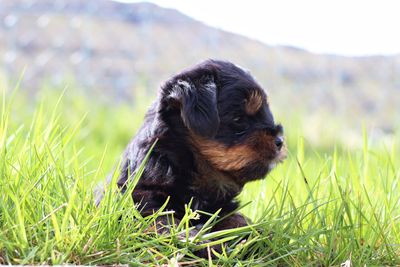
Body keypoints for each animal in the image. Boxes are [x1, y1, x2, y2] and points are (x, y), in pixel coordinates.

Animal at [108, 59, 284, 239]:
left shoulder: (222, 209)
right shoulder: (142, 200)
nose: (279, 141)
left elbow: (236, 220)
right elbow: (163, 222)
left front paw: (261, 234)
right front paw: (191, 238)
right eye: (238, 119)